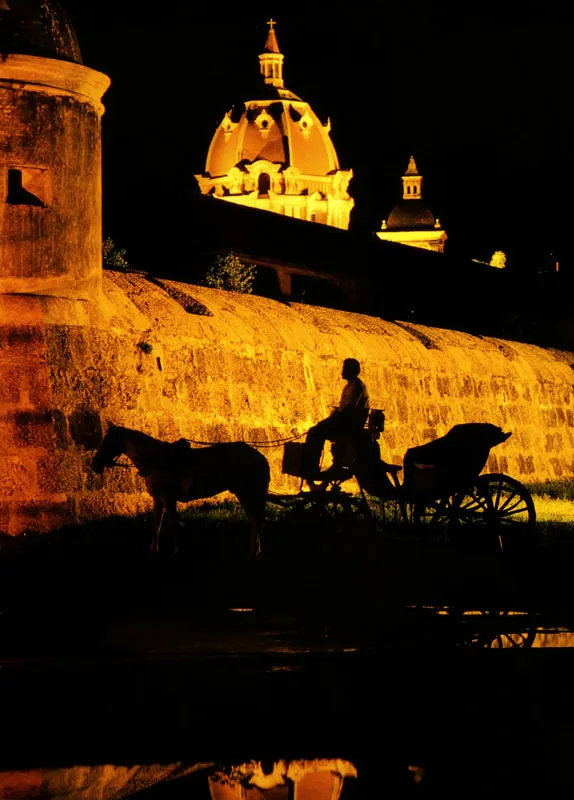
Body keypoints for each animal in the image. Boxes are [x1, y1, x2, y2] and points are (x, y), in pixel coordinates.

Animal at [92, 424, 272, 556]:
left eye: (106, 441)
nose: (95, 464)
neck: (156, 461)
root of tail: (260, 457)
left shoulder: (168, 498)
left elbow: (173, 524)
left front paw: (177, 552)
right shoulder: (158, 499)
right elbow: (156, 525)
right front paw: (154, 551)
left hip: (249, 493)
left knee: (258, 520)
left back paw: (257, 552)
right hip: (245, 494)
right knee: (255, 520)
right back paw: (254, 551)